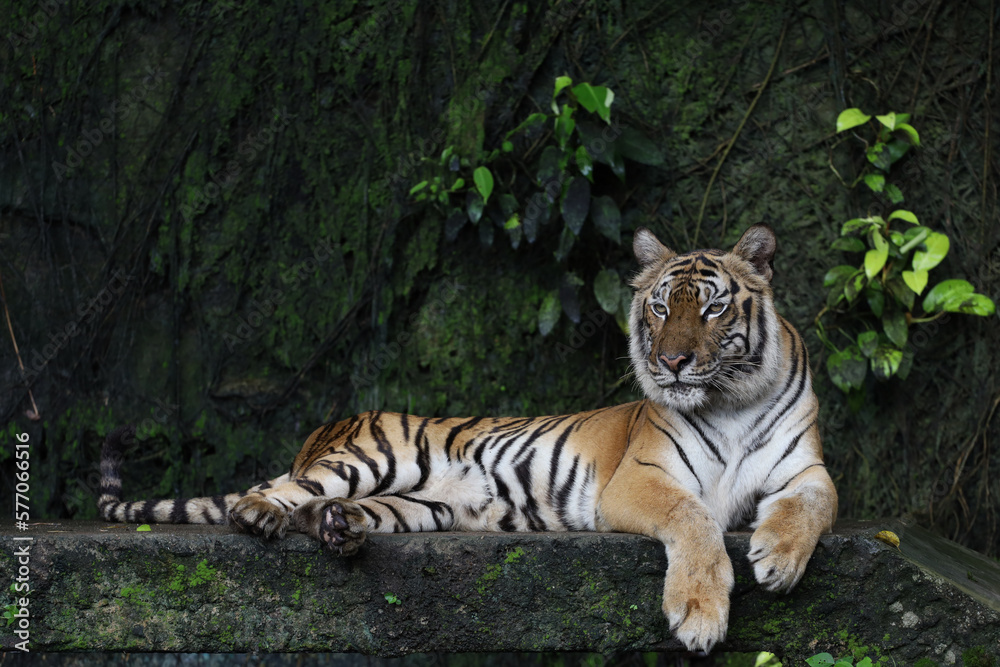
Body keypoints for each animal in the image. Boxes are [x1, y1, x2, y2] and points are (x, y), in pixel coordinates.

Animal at [99, 227, 836, 656]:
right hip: (372, 456)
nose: (672, 362)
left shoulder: (806, 469)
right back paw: (260, 516)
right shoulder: (641, 477)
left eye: (711, 307)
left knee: (321, 509)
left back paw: (340, 530)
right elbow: (695, 517)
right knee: (272, 491)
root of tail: (325, 426)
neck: (730, 399)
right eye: (659, 307)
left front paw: (777, 558)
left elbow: (815, 504)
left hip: (422, 506)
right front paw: (700, 614)